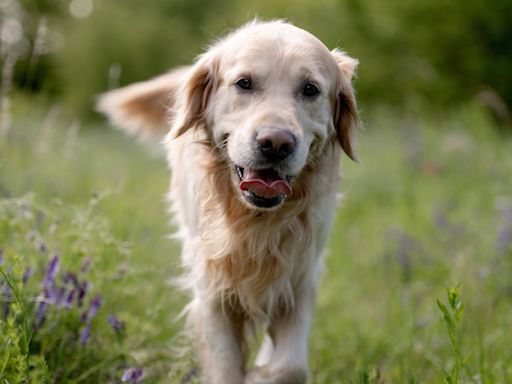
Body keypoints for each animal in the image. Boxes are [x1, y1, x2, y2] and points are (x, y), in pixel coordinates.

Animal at [98, 21, 358, 384]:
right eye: (244, 83)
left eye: (310, 89)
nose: (276, 143)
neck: (253, 223)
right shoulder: (212, 290)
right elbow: (225, 365)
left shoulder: (300, 275)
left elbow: (290, 365)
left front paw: (260, 375)